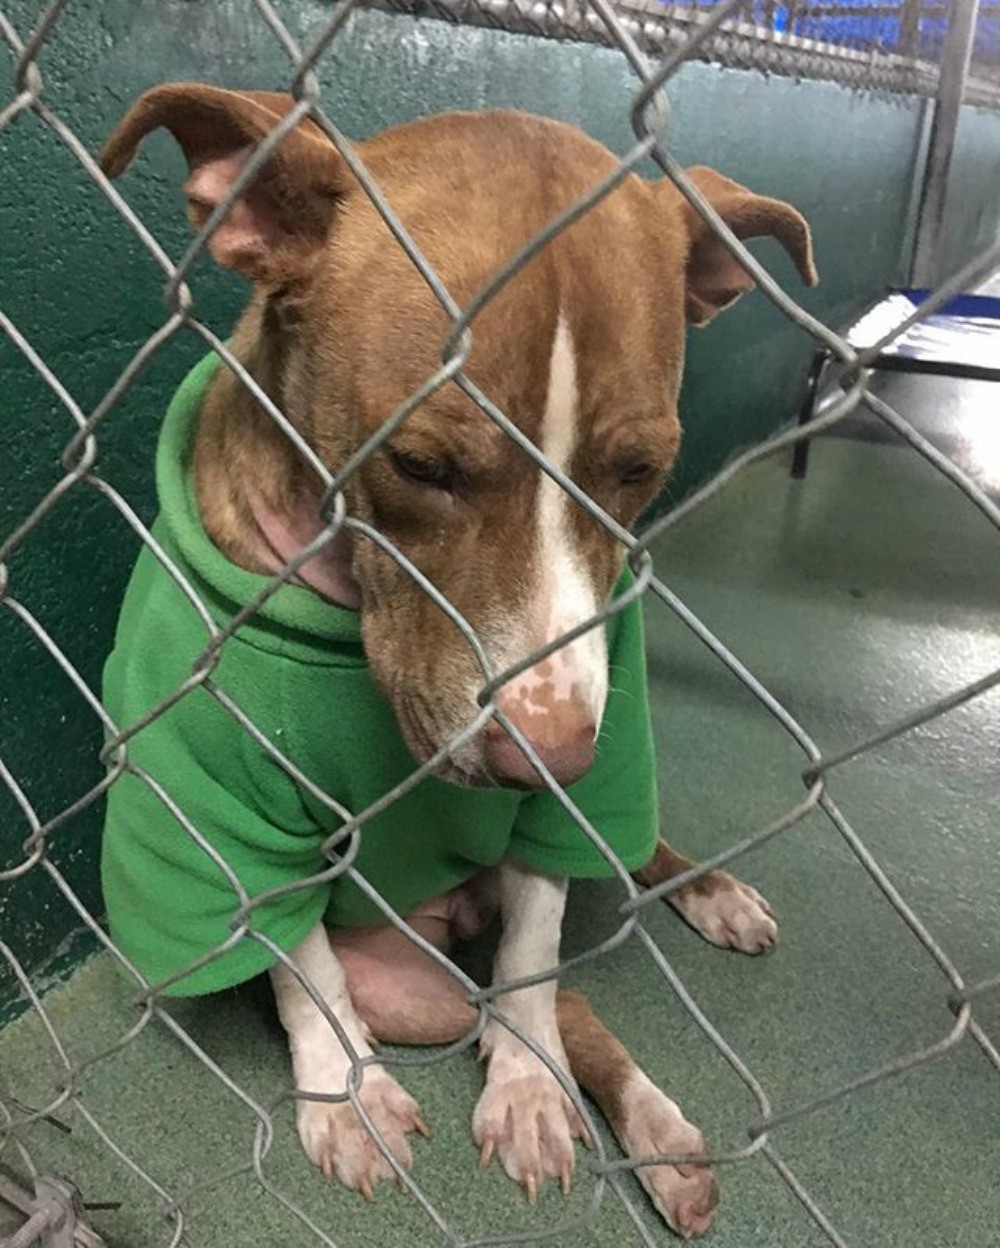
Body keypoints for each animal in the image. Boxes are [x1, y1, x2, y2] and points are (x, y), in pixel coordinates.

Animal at [97, 82, 813, 1233]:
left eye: (642, 469)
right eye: (419, 464)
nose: (550, 760)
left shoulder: (582, 779)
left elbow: (531, 961)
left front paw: (524, 1091)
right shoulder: (226, 816)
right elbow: (306, 973)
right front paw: (346, 1097)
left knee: (567, 971)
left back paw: (677, 1020)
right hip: (414, 982)